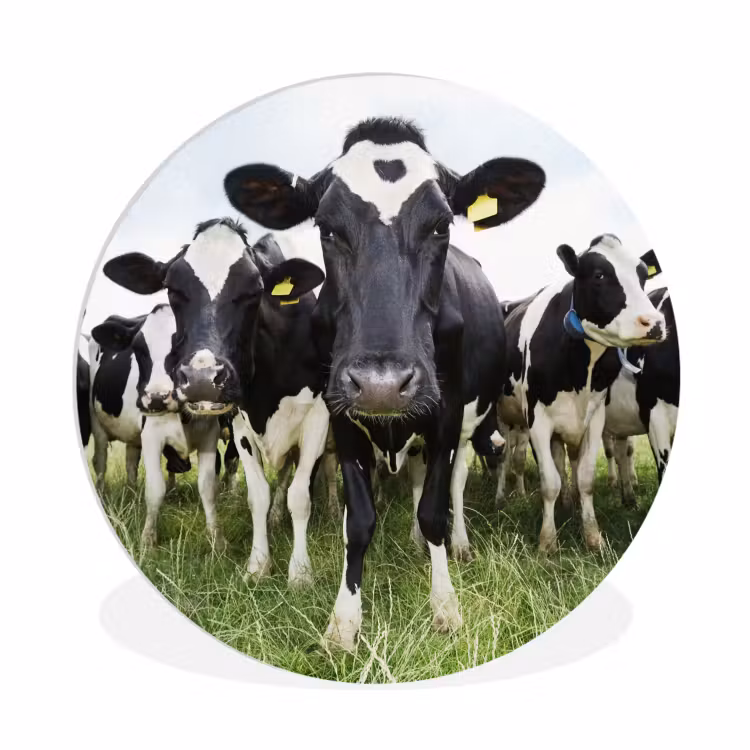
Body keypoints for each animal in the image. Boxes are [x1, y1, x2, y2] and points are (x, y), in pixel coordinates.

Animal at [101, 222, 328, 586]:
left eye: (255, 290)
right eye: (172, 288)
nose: (202, 378)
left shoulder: (318, 420)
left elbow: (300, 495)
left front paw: (300, 573)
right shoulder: (240, 424)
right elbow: (257, 495)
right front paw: (258, 565)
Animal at [223, 116, 545, 650]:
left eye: (441, 225)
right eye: (327, 228)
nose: (382, 384)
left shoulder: (446, 413)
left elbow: (434, 509)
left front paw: (445, 606)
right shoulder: (340, 414)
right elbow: (358, 520)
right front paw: (343, 623)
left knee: (454, 484)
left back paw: (455, 545)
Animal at [499, 234, 664, 552]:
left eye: (642, 275)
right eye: (599, 275)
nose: (655, 323)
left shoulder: (595, 417)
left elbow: (585, 478)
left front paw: (593, 536)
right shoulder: (537, 419)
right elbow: (549, 481)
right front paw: (547, 542)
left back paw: (569, 502)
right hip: (505, 419)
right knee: (507, 459)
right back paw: (503, 496)